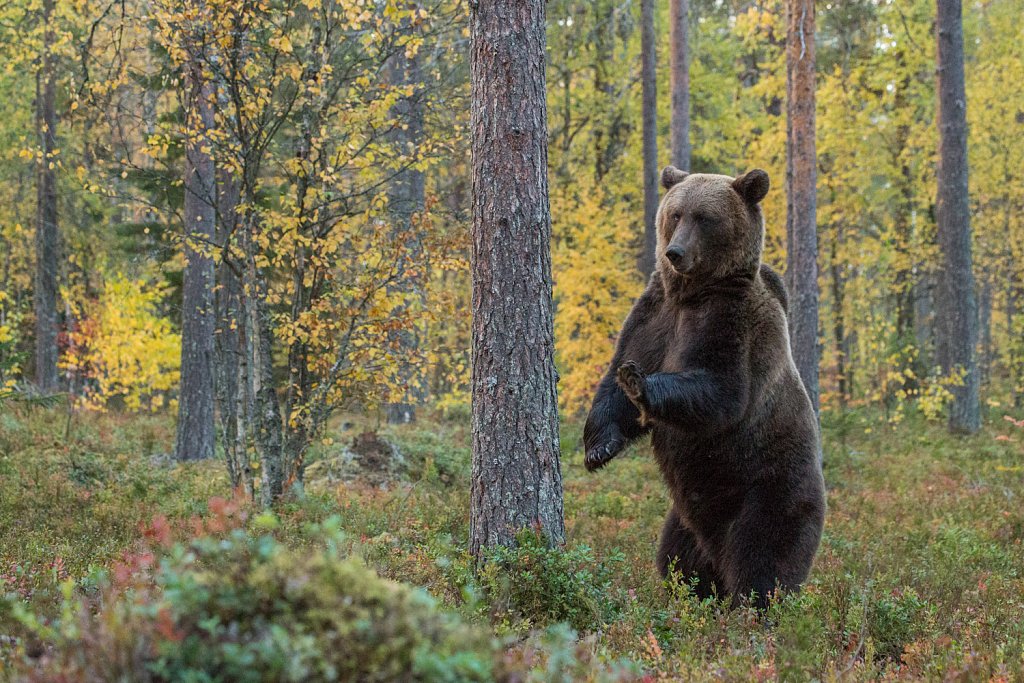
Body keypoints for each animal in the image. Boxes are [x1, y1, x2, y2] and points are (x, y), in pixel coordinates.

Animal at [585, 163, 823, 610]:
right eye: (676, 213)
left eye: (705, 218)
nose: (674, 253)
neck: (691, 294)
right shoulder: (653, 317)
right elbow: (612, 383)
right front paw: (598, 448)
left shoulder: (730, 324)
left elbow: (720, 393)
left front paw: (639, 382)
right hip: (685, 519)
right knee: (678, 559)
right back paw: (695, 596)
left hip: (768, 487)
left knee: (764, 558)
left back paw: (754, 607)